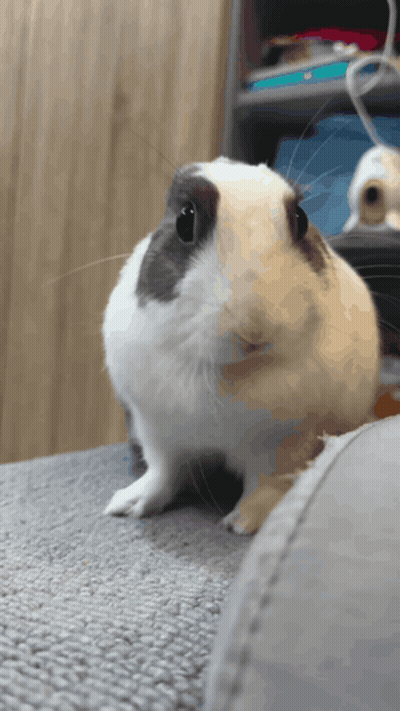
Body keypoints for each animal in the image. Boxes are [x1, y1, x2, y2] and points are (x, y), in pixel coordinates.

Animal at [102, 156, 381, 534]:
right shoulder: (158, 430)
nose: (254, 328)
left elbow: (265, 483)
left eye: (301, 219)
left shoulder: (283, 441)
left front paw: (243, 523)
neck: (231, 372)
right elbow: (164, 473)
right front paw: (130, 505)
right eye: (185, 221)